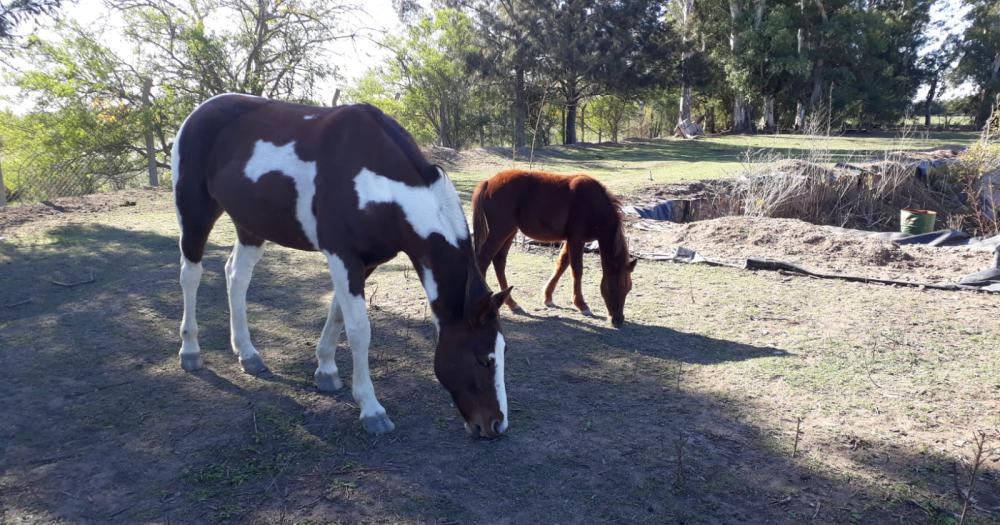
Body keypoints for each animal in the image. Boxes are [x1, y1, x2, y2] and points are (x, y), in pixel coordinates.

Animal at [172, 95, 512, 438]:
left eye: (501, 351)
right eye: (483, 360)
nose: (496, 424)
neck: (379, 184)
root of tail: (199, 112)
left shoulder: (365, 262)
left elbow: (337, 313)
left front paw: (325, 370)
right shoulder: (342, 256)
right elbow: (359, 329)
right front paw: (371, 409)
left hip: (251, 226)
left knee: (237, 277)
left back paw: (247, 353)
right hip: (195, 213)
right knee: (191, 275)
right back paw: (190, 351)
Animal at [472, 170, 636, 326]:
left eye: (628, 288)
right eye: (614, 287)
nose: (618, 320)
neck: (594, 204)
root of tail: (488, 182)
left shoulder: (570, 240)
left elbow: (562, 265)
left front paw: (548, 297)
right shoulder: (576, 239)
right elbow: (577, 270)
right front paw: (582, 305)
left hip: (510, 231)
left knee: (499, 261)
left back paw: (512, 303)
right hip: (500, 231)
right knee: (483, 260)